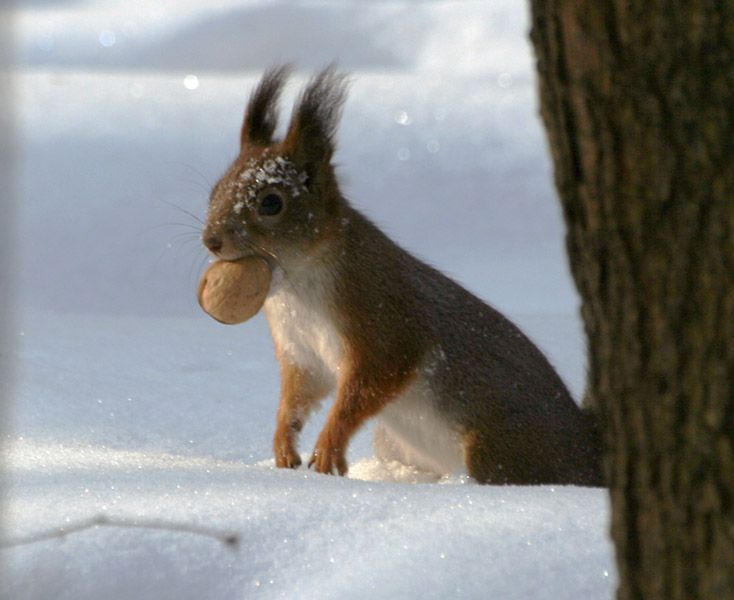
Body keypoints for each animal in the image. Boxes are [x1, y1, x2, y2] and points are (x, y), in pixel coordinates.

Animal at [201, 65, 604, 486]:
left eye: (271, 203)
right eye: (214, 190)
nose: (211, 240)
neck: (296, 283)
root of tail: (587, 451)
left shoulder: (383, 323)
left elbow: (368, 386)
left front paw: (329, 447)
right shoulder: (302, 351)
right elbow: (298, 396)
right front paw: (284, 444)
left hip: (495, 448)